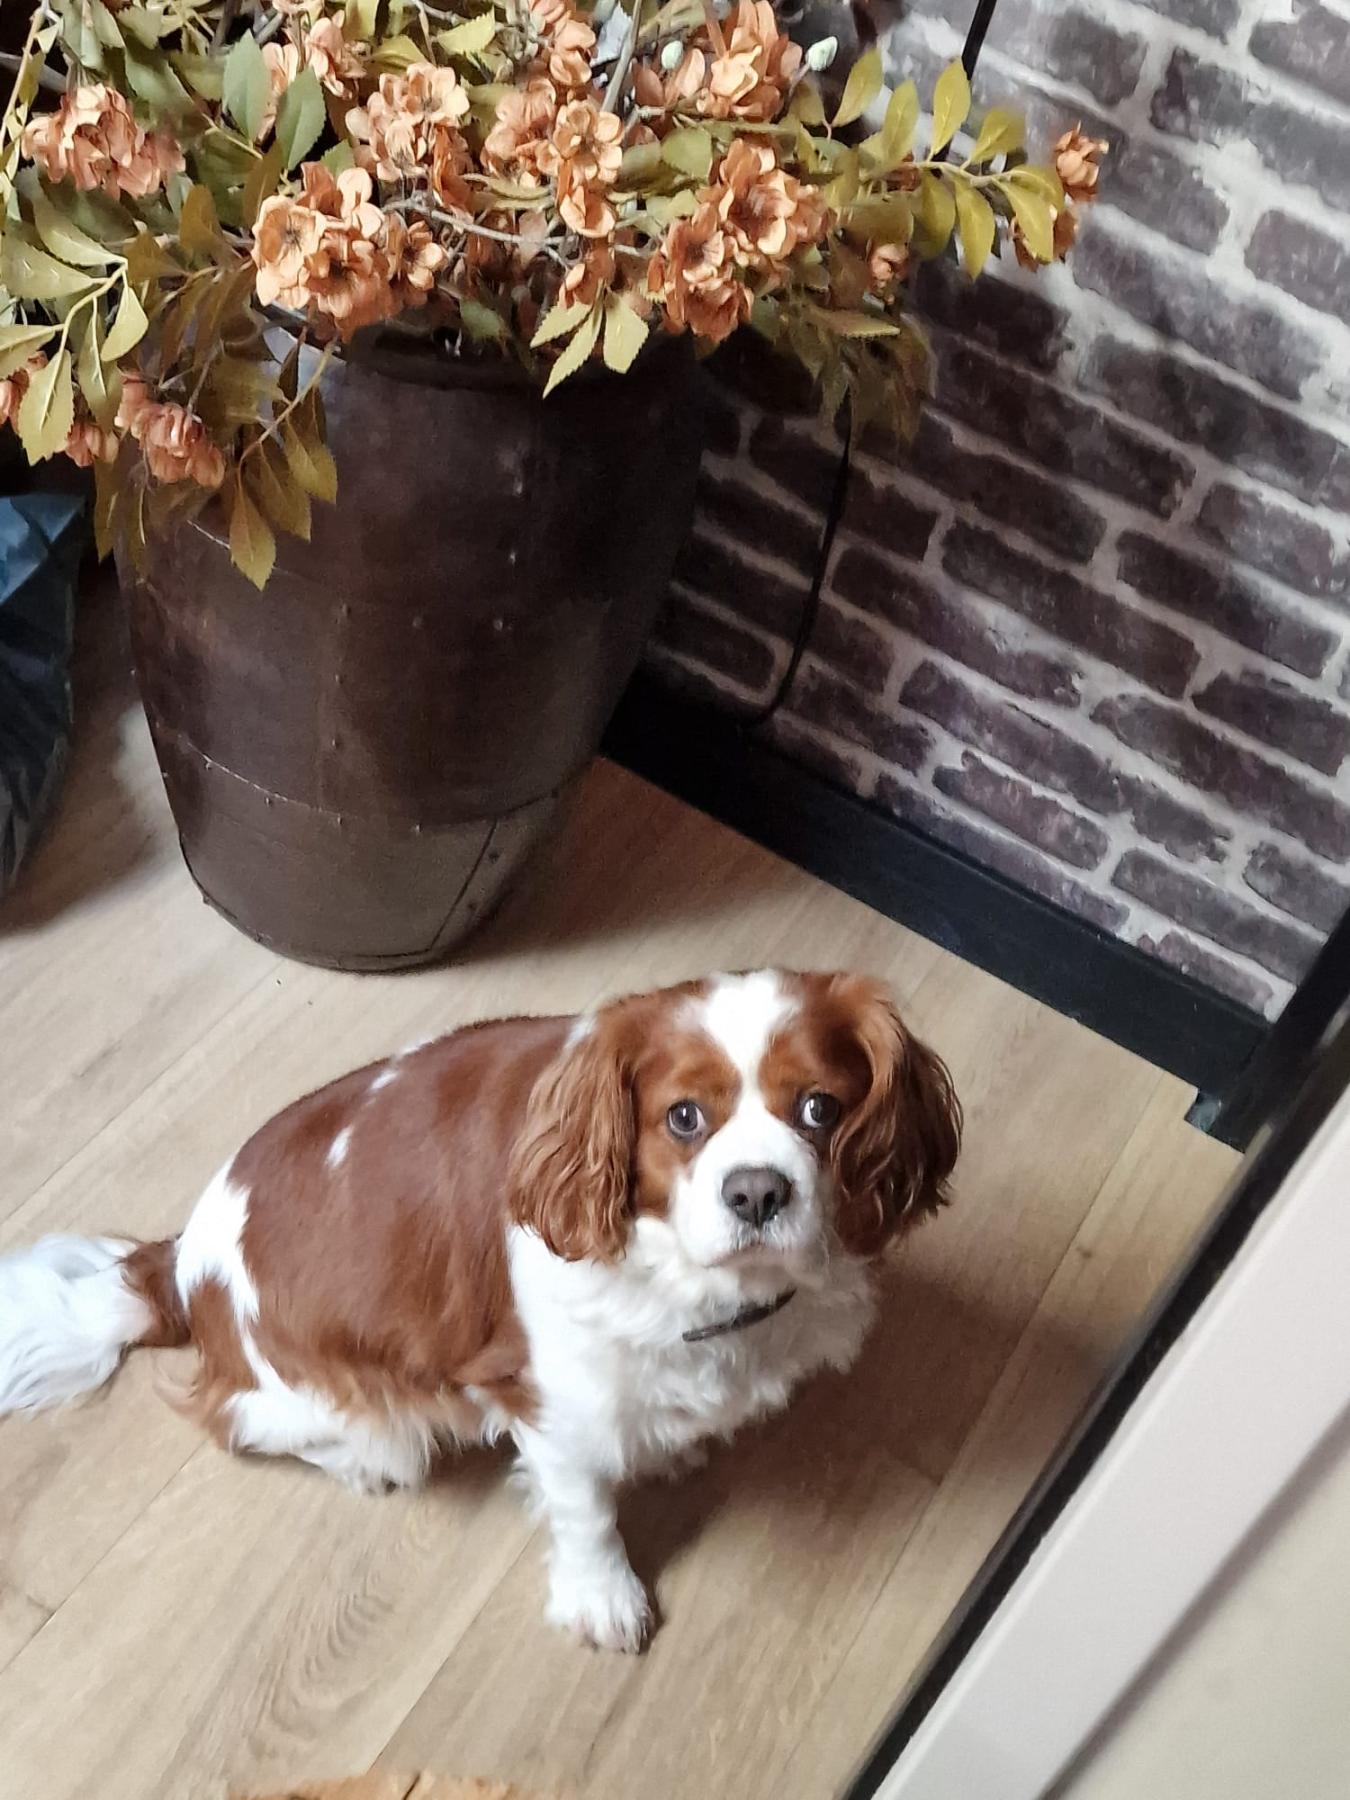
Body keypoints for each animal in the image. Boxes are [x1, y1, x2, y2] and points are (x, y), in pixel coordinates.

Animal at [0, 969, 959, 1651]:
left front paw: (671, 1448)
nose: (758, 1191)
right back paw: (359, 1464)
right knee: (245, 1424)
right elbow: (585, 1507)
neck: (692, 1283)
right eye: (684, 1118)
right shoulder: (544, 1399)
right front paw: (603, 1597)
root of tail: (180, 1265)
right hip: (346, 1404)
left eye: (821, 1108)